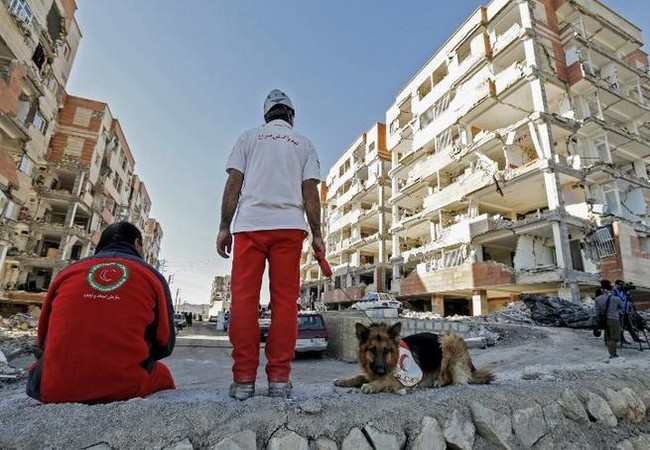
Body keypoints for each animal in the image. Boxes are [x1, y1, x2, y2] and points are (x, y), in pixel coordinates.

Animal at [334, 322, 492, 392]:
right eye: (372, 349)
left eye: (386, 350)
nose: (380, 371)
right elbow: (359, 376)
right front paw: (344, 380)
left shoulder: (406, 379)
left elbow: (387, 379)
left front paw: (372, 385)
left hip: (449, 339)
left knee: (451, 378)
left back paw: (438, 381)